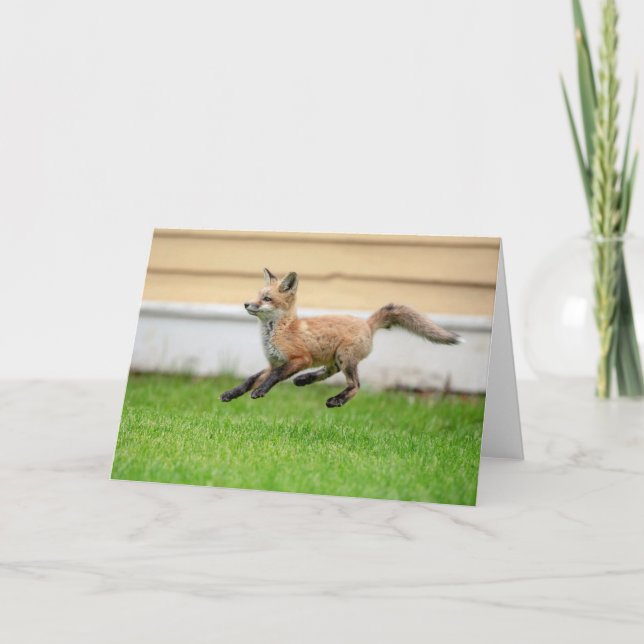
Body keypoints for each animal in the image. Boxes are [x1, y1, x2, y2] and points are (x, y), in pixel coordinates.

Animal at [219, 269, 462, 408]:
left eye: (267, 299)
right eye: (257, 296)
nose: (246, 304)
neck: (280, 331)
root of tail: (367, 323)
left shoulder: (300, 359)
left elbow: (274, 377)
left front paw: (261, 391)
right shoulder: (274, 362)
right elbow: (250, 379)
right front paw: (231, 394)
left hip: (345, 357)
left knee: (355, 385)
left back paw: (336, 400)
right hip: (337, 358)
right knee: (330, 372)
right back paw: (304, 380)